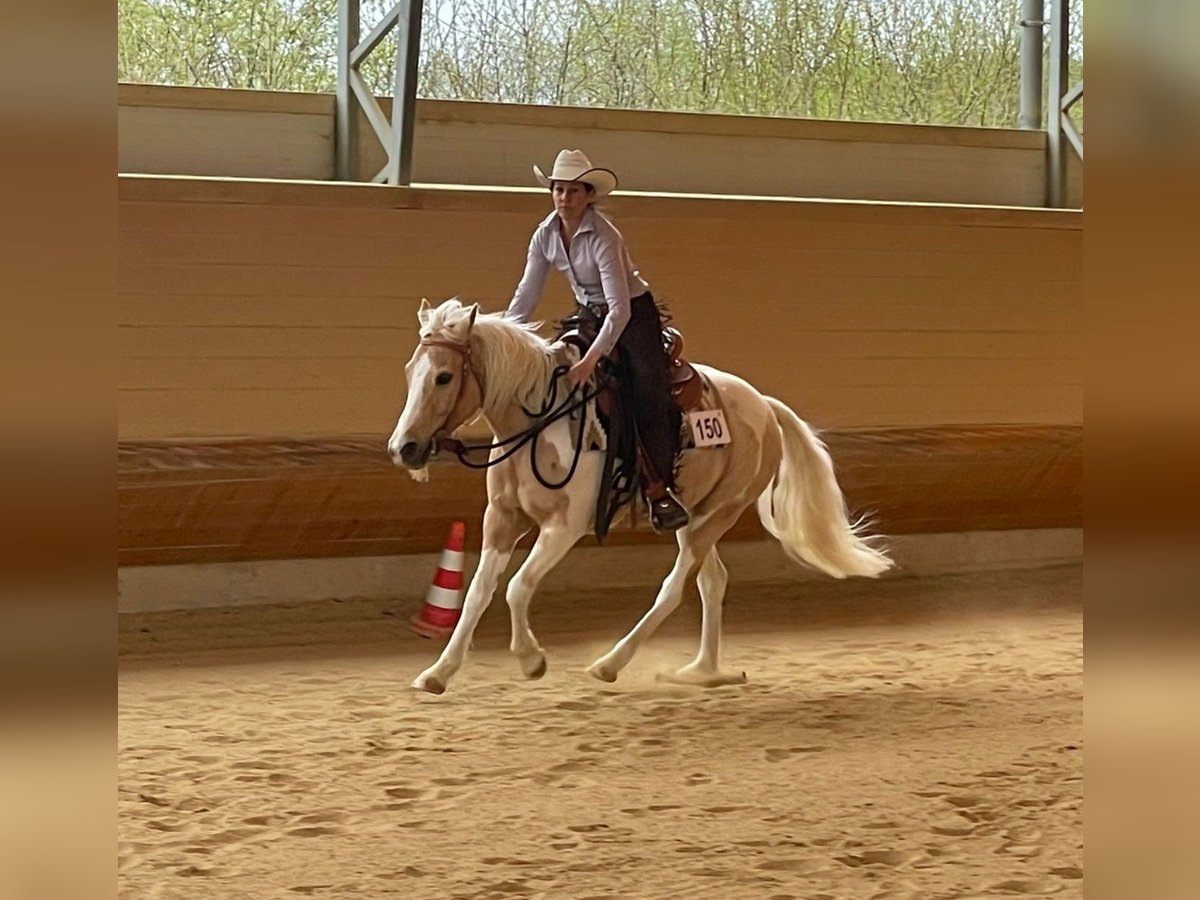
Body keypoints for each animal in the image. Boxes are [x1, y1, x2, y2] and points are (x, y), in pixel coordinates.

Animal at [384, 300, 892, 696]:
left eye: (444, 377)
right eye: (409, 372)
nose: (403, 448)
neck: (540, 423)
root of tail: (765, 406)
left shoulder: (563, 527)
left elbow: (517, 587)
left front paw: (531, 660)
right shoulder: (502, 519)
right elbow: (477, 593)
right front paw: (438, 673)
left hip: (718, 513)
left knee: (675, 588)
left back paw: (611, 664)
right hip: (694, 517)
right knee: (713, 581)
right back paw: (703, 672)